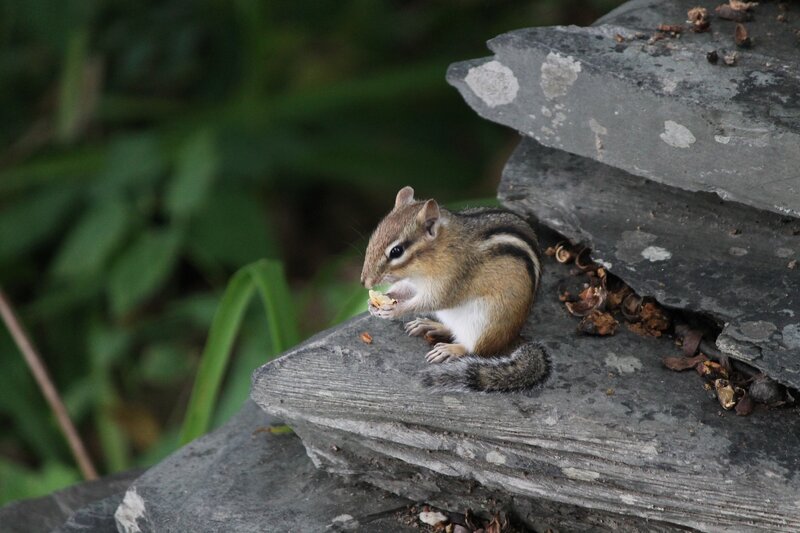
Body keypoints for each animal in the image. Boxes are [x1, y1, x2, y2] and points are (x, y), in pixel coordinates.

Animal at [360, 186, 549, 392]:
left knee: (476, 349)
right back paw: (431, 325)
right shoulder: (413, 282)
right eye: (374, 237)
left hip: (484, 321)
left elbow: (433, 300)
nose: (365, 282)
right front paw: (379, 300)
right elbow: (405, 290)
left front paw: (395, 309)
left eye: (397, 251)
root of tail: (512, 338)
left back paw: (451, 349)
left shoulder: (451, 280)